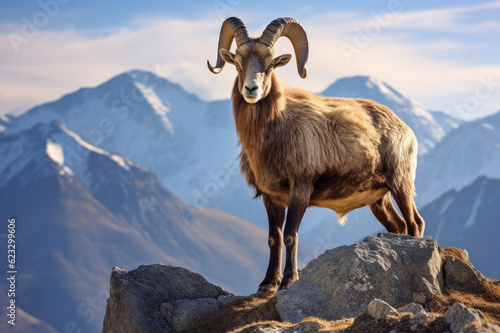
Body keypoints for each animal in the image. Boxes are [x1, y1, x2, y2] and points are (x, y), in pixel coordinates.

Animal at [208, 16, 426, 290]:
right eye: (237, 62)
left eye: (270, 64)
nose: (251, 89)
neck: (278, 126)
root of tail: (405, 128)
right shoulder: (271, 197)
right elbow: (273, 238)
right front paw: (268, 283)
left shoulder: (300, 189)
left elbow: (290, 235)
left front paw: (289, 280)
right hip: (379, 199)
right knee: (399, 226)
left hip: (401, 183)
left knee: (415, 222)